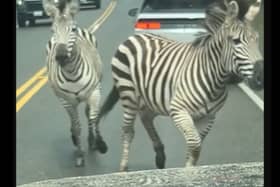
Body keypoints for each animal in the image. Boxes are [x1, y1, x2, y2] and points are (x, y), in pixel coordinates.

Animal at [43, 0, 107, 167]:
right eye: (52, 30)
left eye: (72, 29)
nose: (61, 56)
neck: (72, 73)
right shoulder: (66, 101)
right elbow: (77, 126)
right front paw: (80, 155)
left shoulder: (94, 92)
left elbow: (94, 117)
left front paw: (100, 144)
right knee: (74, 120)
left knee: (88, 113)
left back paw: (91, 141)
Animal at [95, 0, 262, 172]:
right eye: (236, 41)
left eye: (257, 39)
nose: (260, 77)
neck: (213, 78)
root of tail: (134, 37)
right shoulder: (178, 109)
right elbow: (194, 145)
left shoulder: (208, 117)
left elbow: (195, 147)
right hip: (128, 93)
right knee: (128, 131)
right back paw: (123, 168)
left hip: (153, 97)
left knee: (146, 117)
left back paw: (160, 156)